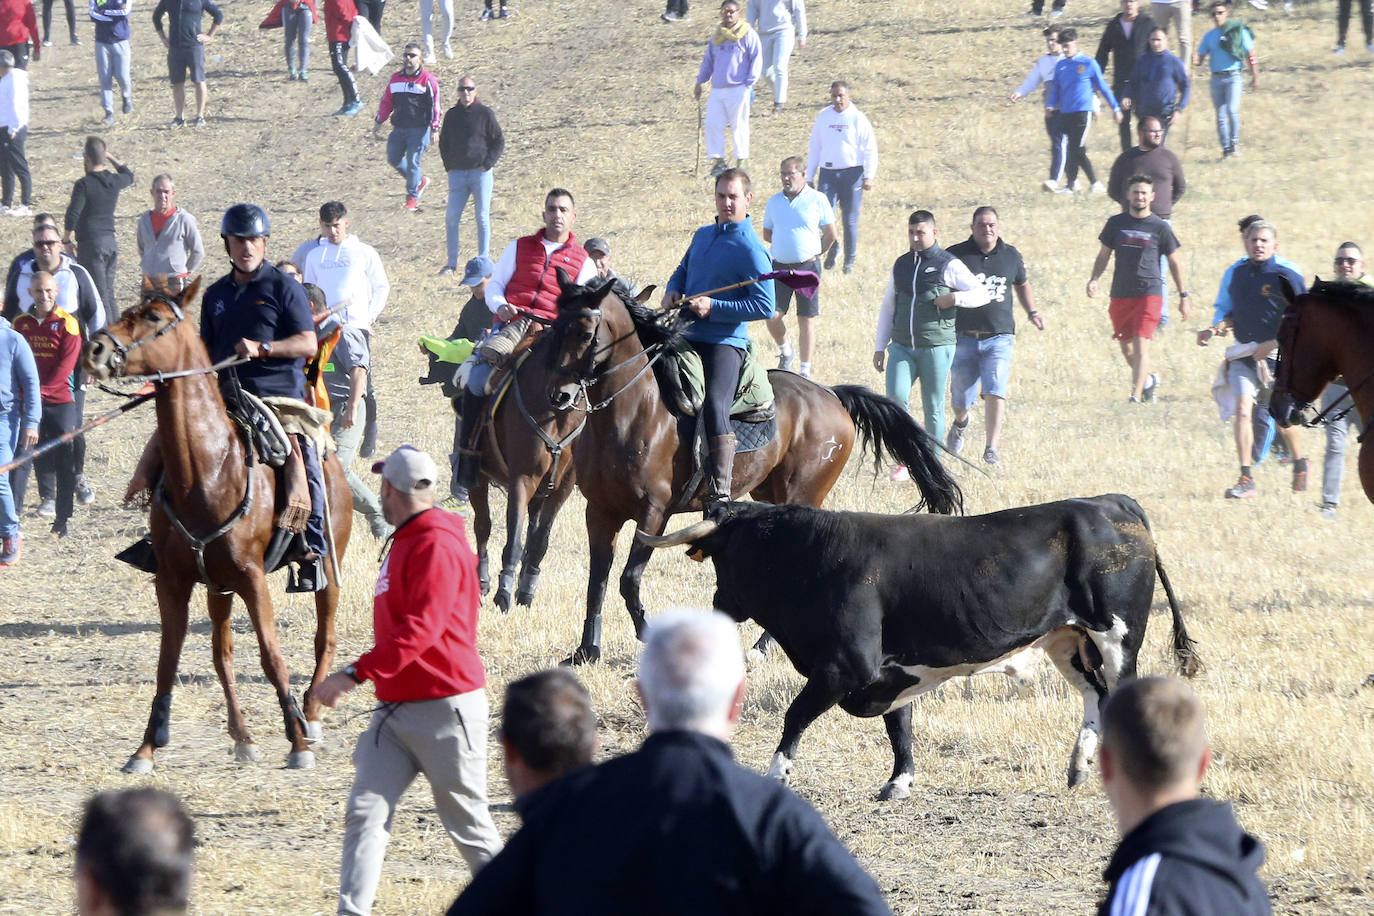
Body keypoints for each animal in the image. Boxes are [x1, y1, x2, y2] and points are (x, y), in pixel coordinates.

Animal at [83, 280, 351, 774]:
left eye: (152, 317)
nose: (95, 349)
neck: (208, 469)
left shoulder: (252, 578)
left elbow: (271, 657)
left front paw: (297, 744)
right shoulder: (174, 581)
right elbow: (169, 661)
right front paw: (146, 749)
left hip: (326, 565)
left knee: (325, 638)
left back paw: (311, 715)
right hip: (217, 586)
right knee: (222, 654)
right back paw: (243, 736)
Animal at [541, 276, 961, 661]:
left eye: (585, 332)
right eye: (553, 328)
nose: (558, 396)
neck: (631, 411)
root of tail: (830, 394)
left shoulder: (654, 512)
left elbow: (629, 579)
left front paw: (646, 632)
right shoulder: (600, 511)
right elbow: (597, 582)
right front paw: (586, 651)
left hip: (801, 494)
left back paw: (763, 646)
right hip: (769, 492)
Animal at [637, 494, 1198, 802]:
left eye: (724, 555)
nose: (716, 606)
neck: (811, 555)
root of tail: (1109, 502)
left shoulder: (845, 666)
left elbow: (796, 715)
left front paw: (777, 772)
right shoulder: (890, 671)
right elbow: (899, 728)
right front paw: (899, 783)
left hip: (1116, 635)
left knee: (1118, 694)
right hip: (1068, 638)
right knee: (1093, 696)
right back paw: (1078, 766)